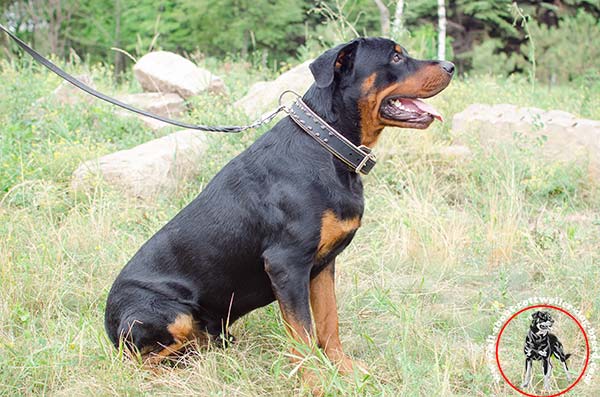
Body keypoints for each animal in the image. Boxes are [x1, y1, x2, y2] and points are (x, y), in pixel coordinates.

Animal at [104, 38, 454, 376]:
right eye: (396, 57)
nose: (450, 66)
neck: (328, 146)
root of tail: (108, 325)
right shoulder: (287, 263)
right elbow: (304, 335)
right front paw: (315, 382)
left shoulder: (323, 265)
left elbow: (329, 323)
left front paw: (344, 370)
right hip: (166, 315)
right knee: (142, 361)